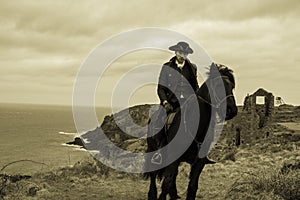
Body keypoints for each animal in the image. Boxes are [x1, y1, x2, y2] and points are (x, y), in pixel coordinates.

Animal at [144, 63, 238, 200]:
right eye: (218, 85)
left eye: (232, 86)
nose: (232, 110)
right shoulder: (173, 160)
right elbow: (166, 185)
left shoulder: (198, 163)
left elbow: (192, 187)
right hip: (153, 151)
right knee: (153, 175)